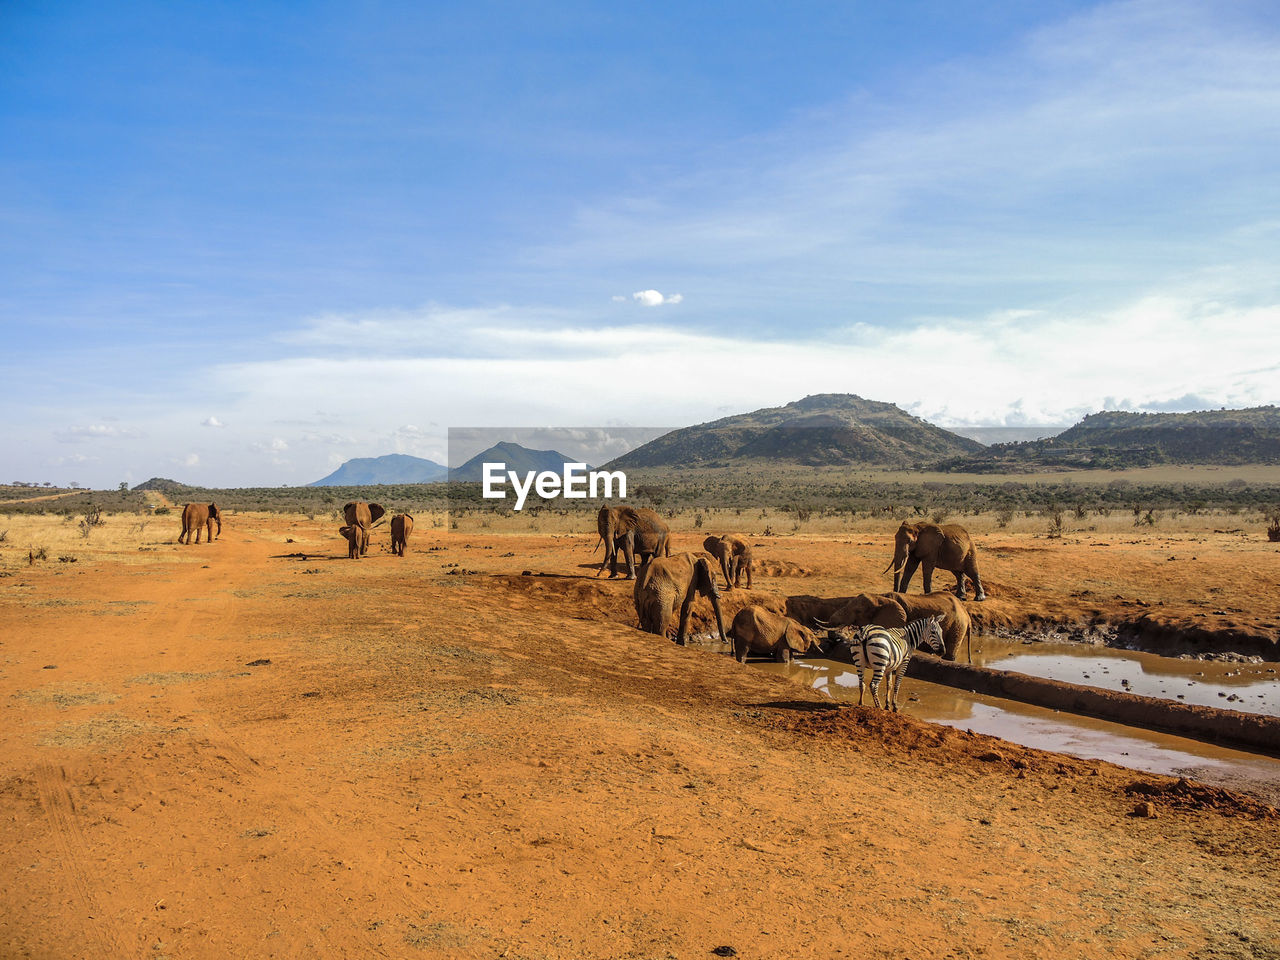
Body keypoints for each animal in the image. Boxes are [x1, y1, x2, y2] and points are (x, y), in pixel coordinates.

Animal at [808, 591, 977, 665]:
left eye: (858, 611)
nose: (837, 638)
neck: (880, 597)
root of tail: (967, 615)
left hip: (957, 626)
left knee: (950, 652)